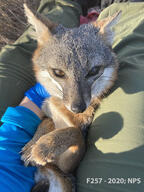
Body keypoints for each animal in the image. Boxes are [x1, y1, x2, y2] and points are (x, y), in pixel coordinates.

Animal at [21, 4, 120, 192]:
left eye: (93, 71)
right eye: (58, 72)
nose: (78, 108)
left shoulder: (67, 166)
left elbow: (75, 132)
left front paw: (43, 146)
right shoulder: (48, 110)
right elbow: (46, 121)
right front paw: (33, 144)